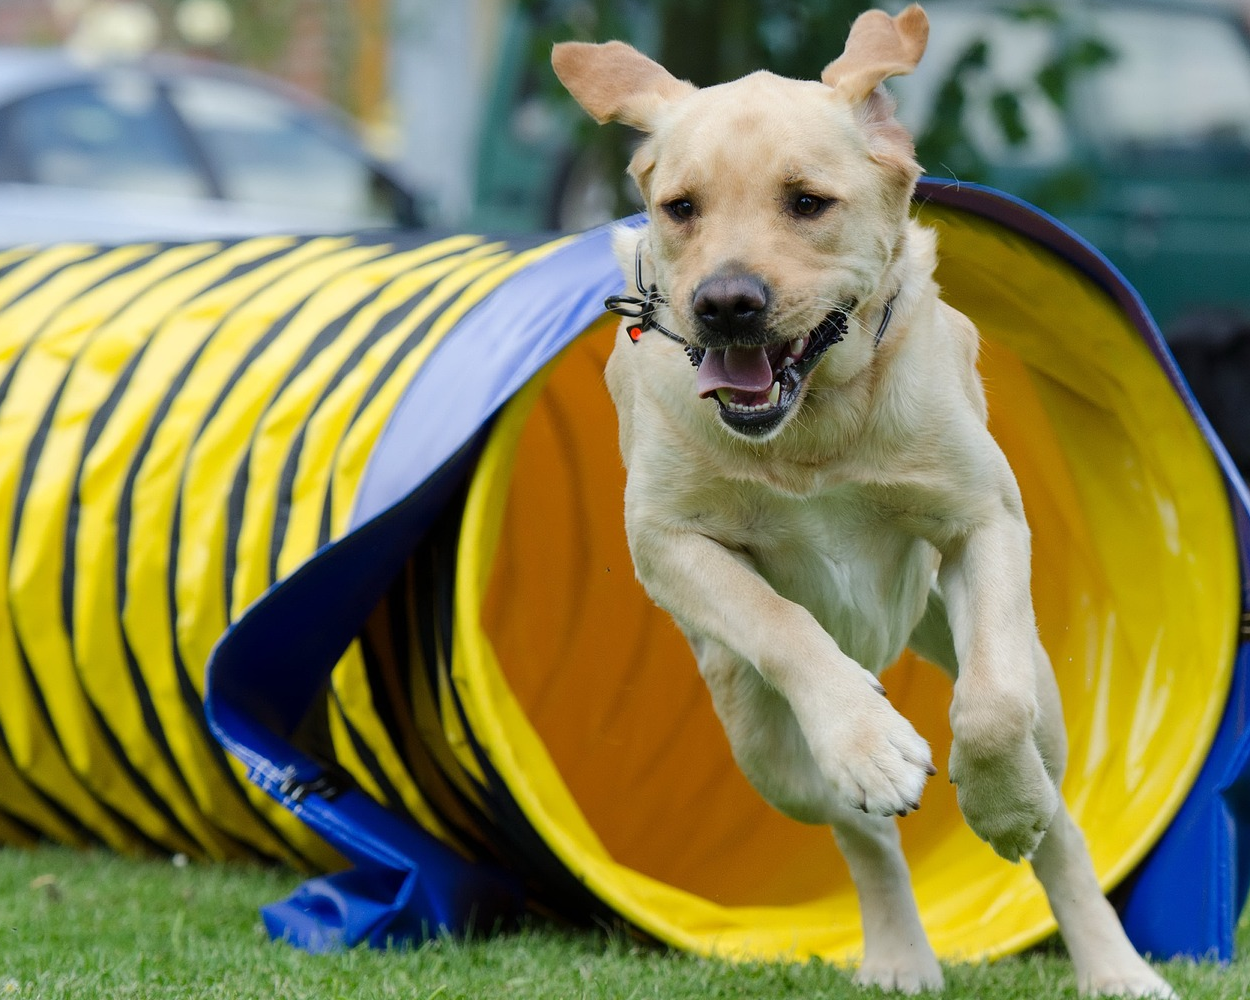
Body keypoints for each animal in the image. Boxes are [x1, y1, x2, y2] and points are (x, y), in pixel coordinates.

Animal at [552, 5, 1175, 990]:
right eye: (681, 208)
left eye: (807, 202)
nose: (725, 303)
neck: (812, 425)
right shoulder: (668, 543)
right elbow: (782, 622)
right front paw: (873, 745)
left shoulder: (982, 521)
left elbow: (991, 712)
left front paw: (1001, 808)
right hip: (760, 741)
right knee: (862, 835)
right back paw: (898, 951)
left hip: (1029, 681)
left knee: (1061, 822)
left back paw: (1111, 961)